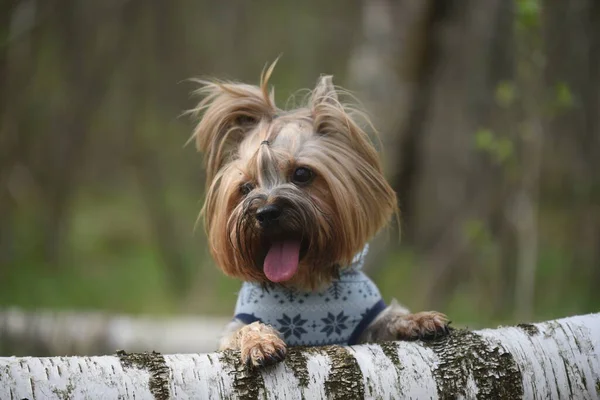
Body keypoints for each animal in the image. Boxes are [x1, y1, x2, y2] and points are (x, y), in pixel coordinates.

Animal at [190, 64, 448, 368]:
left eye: (302, 173)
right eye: (246, 188)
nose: (265, 212)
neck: (305, 281)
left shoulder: (366, 324)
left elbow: (390, 318)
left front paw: (419, 319)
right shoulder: (234, 328)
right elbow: (244, 329)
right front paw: (259, 342)